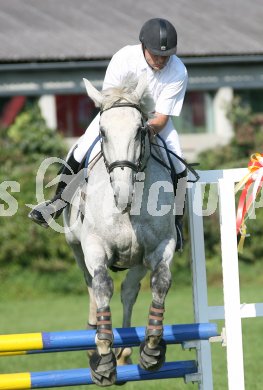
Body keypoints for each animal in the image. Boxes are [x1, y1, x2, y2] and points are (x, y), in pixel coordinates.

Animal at [64, 74, 177, 386]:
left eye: (140, 131)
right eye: (103, 132)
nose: (122, 193)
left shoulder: (160, 246)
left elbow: (160, 282)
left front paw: (151, 349)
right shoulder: (93, 247)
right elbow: (102, 285)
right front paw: (102, 357)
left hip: (136, 260)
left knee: (129, 291)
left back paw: (125, 353)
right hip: (76, 248)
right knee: (91, 285)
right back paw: (96, 342)